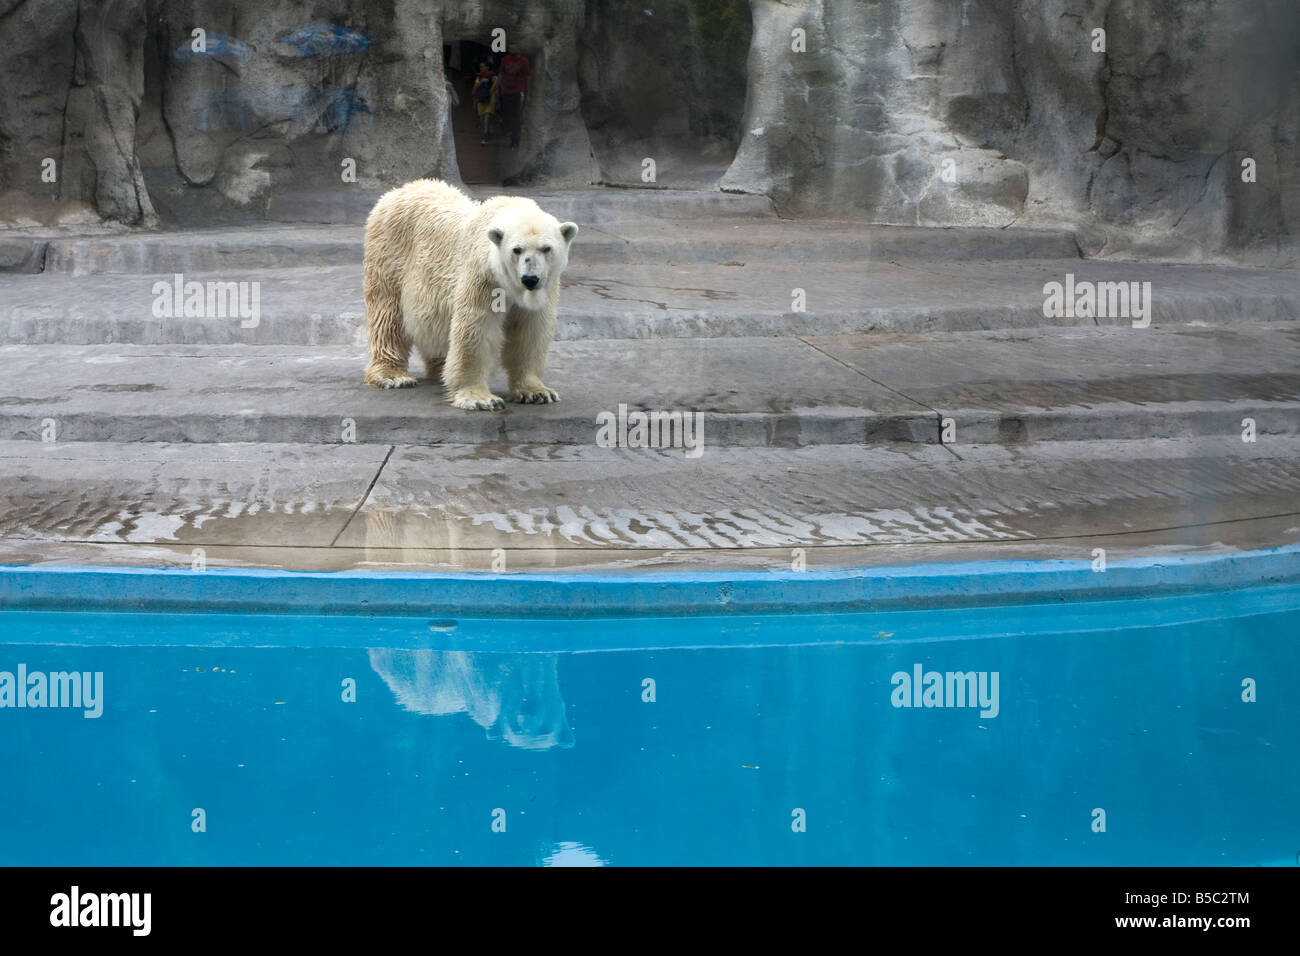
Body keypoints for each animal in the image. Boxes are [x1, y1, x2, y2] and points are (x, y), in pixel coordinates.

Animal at [358, 178, 577, 408]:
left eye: (546, 248)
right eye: (516, 249)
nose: (530, 279)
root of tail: (399, 190)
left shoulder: (544, 289)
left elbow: (530, 330)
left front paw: (536, 392)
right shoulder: (483, 275)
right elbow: (475, 328)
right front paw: (479, 398)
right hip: (389, 254)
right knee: (387, 316)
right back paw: (392, 375)